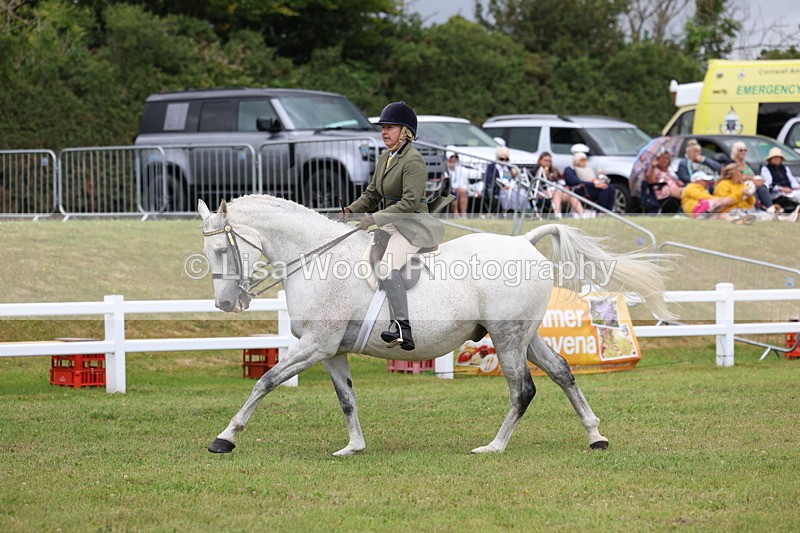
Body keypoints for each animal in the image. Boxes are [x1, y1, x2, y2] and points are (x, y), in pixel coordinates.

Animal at [197, 195, 672, 456]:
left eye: (222, 250)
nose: (226, 303)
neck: (316, 257)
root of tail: (523, 241)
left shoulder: (315, 344)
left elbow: (265, 382)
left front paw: (225, 437)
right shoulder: (332, 350)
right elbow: (346, 399)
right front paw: (354, 447)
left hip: (507, 337)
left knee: (523, 389)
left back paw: (494, 447)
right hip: (524, 335)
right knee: (562, 372)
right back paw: (595, 435)